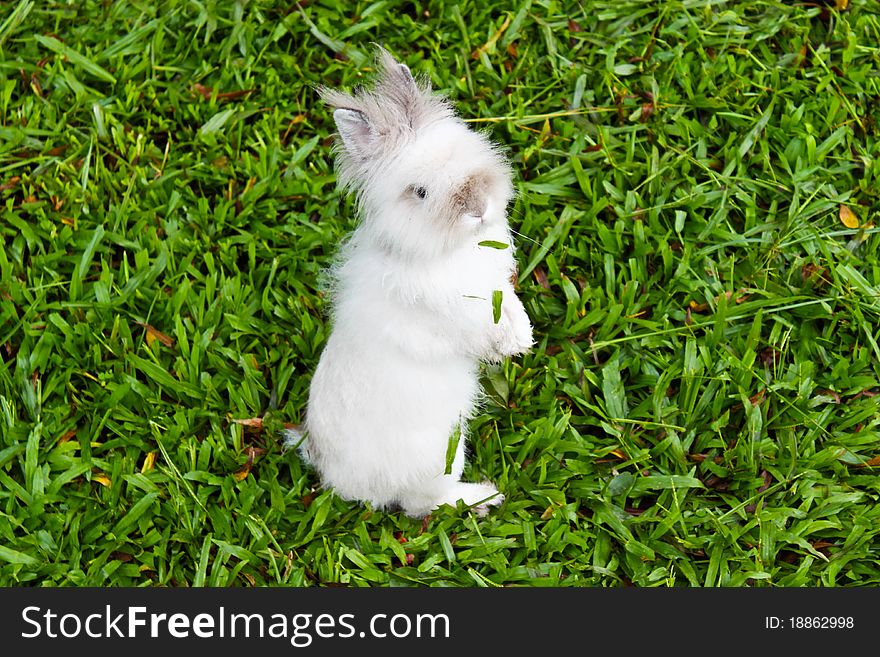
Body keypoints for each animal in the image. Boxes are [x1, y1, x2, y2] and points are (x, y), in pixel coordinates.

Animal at [290, 46, 536, 516]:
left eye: (467, 150)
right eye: (419, 192)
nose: (479, 207)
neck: (449, 249)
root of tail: (338, 481)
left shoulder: (497, 283)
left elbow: (511, 306)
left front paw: (523, 337)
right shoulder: (454, 311)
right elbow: (479, 328)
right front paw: (511, 347)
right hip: (443, 455)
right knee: (425, 504)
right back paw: (485, 496)